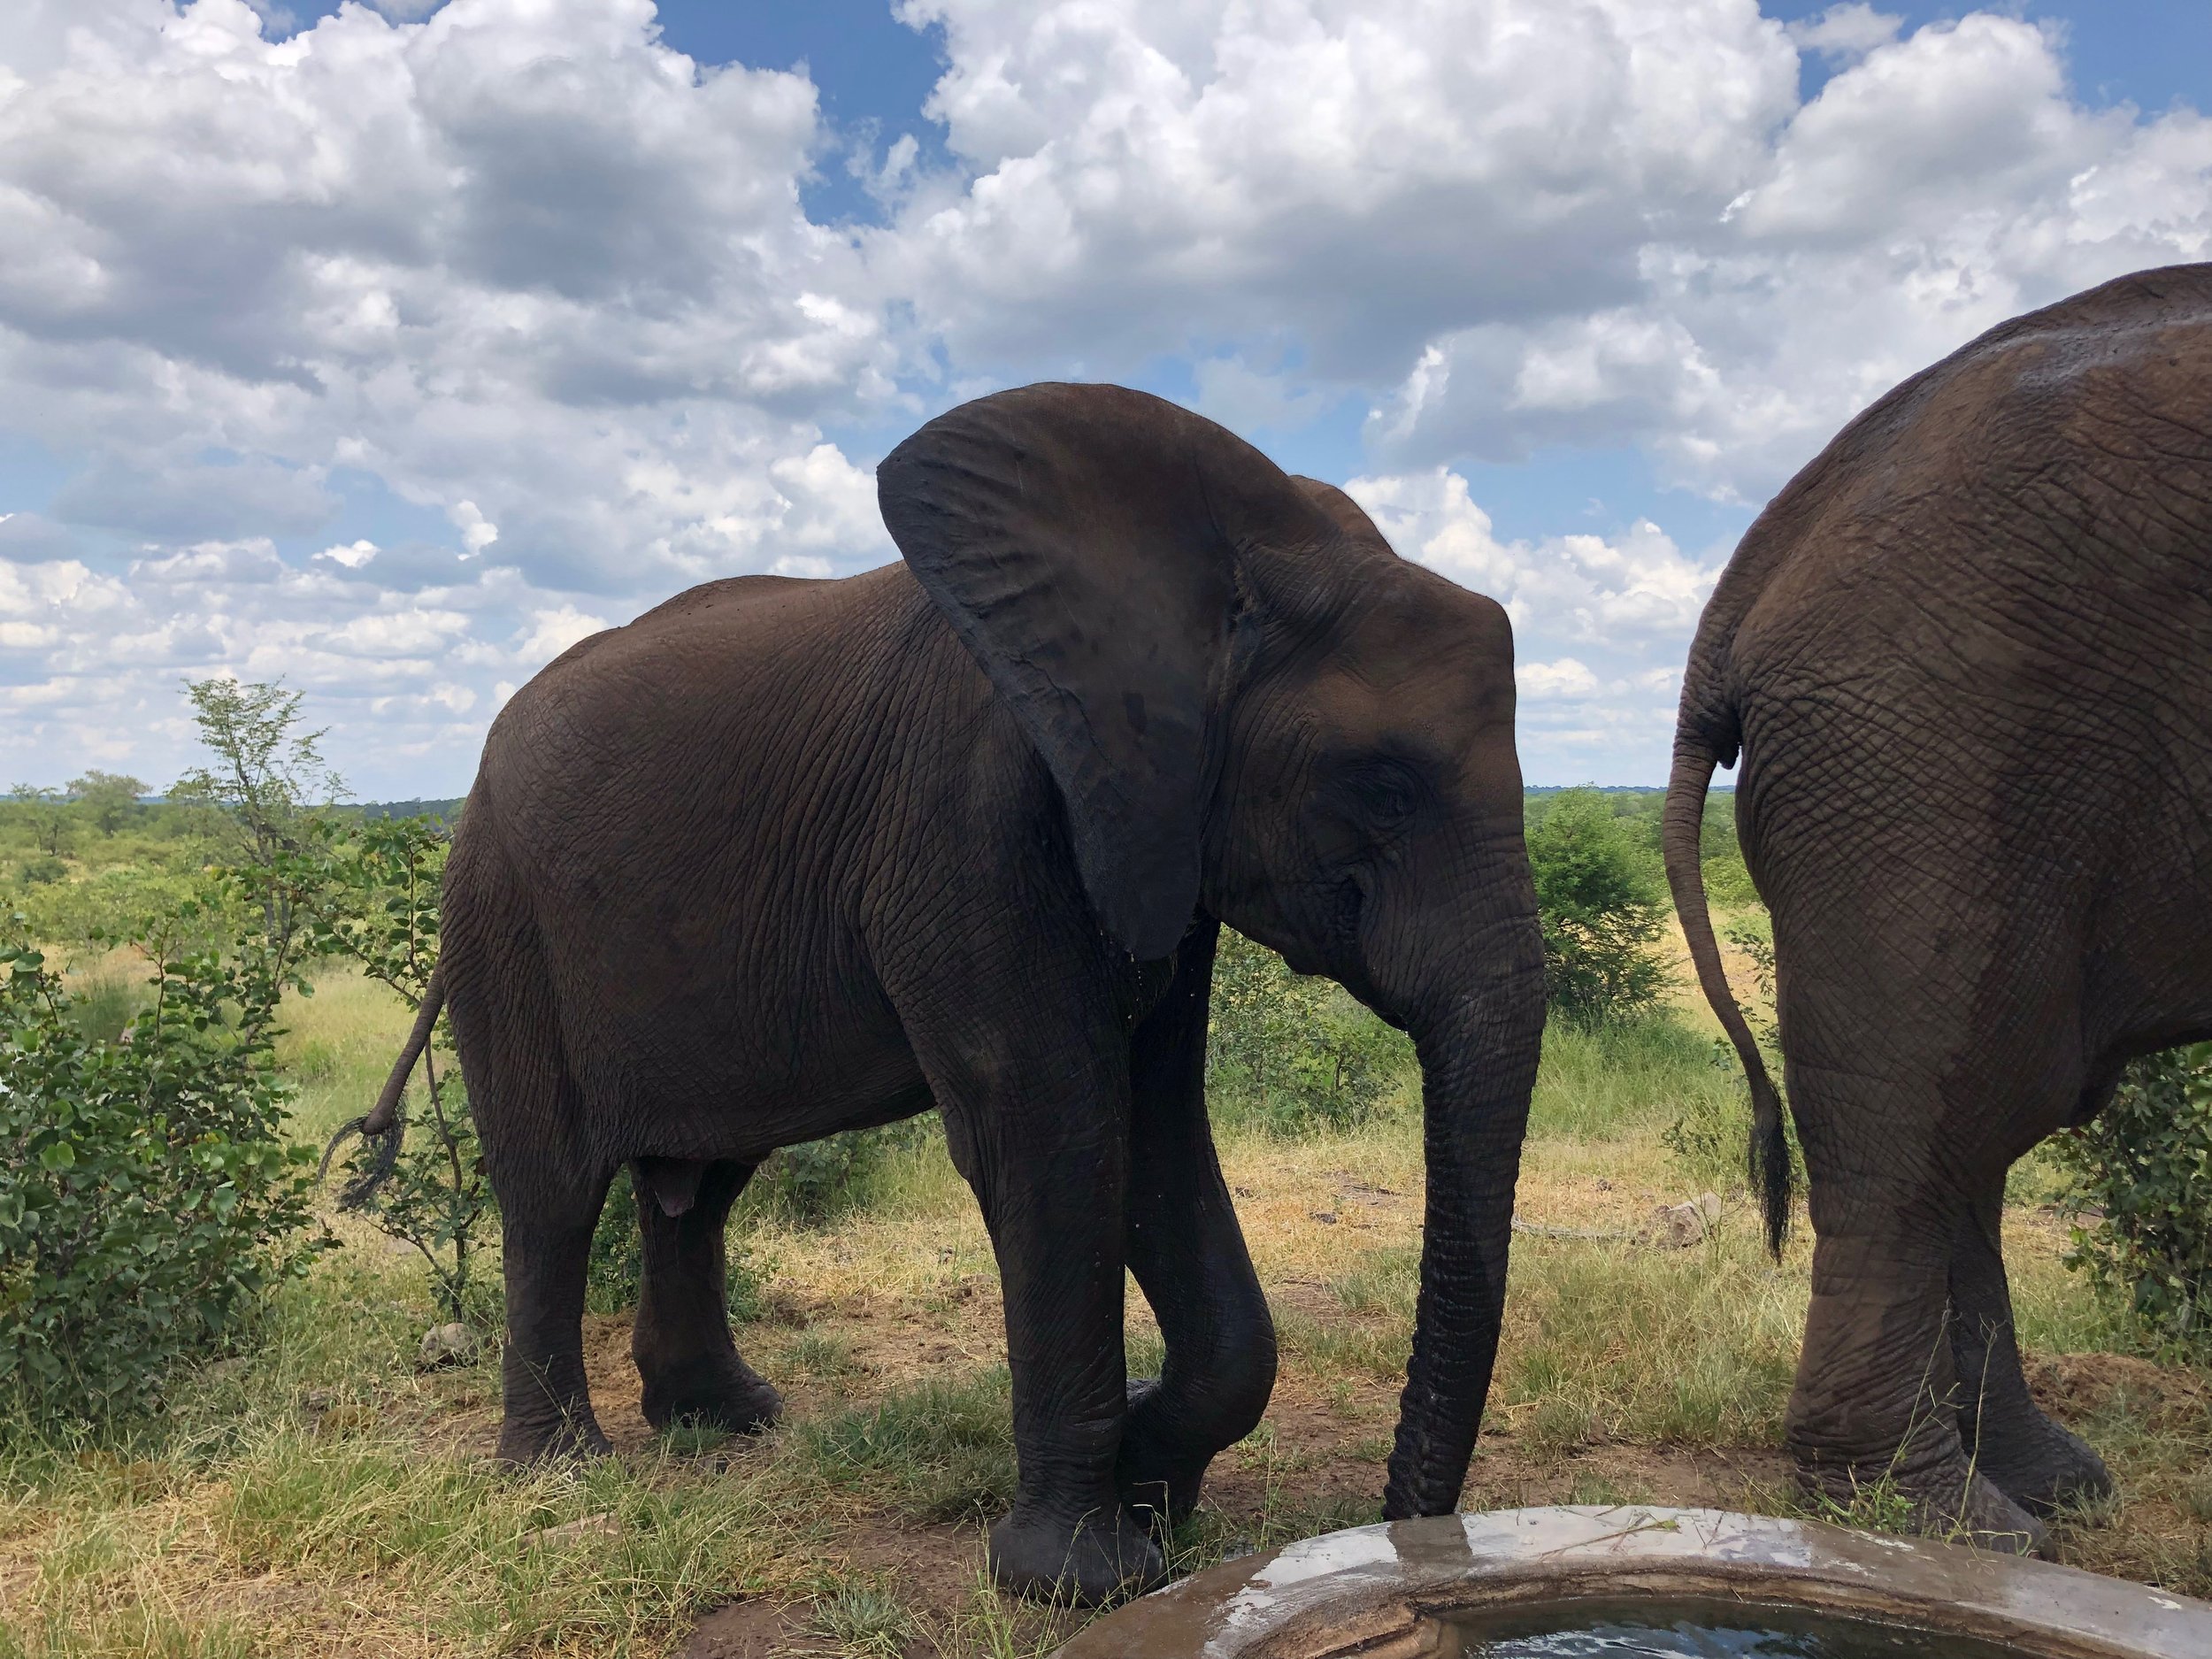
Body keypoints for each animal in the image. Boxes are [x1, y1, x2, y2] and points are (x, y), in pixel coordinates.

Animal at [349, 382, 1546, 1601]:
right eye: (1384, 788)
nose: (1407, 1544)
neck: (1239, 558)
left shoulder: (1161, 832)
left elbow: (1157, 1126)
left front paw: (1155, 1487)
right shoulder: (964, 813)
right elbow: (1054, 1126)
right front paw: (1080, 1577)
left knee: (700, 1184)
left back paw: (724, 1420)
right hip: (502, 911)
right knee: (551, 1189)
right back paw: (560, 1474)